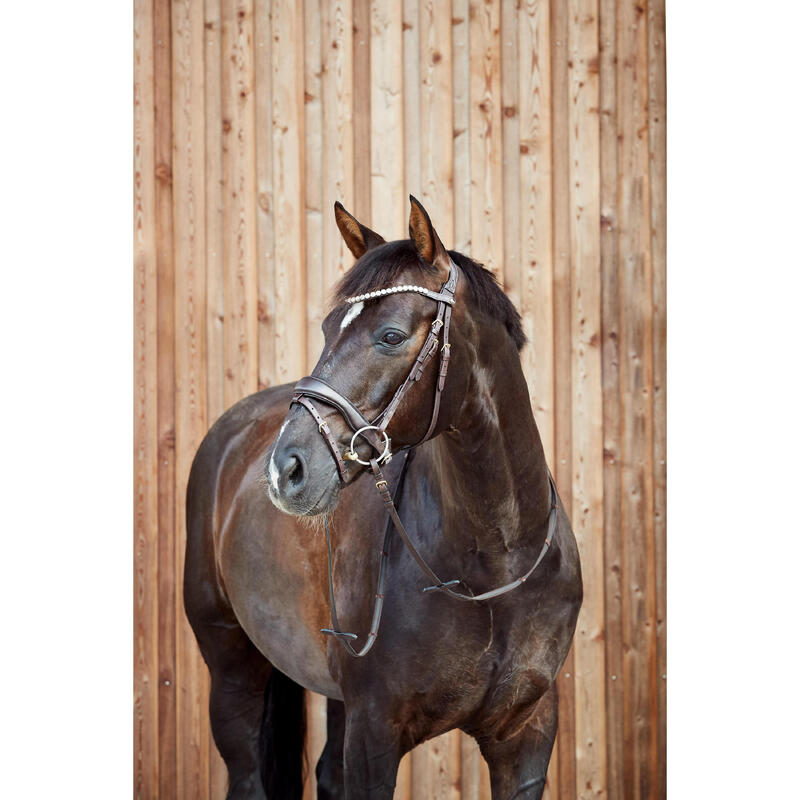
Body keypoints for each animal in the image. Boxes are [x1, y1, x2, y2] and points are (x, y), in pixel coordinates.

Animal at [185, 195, 584, 800]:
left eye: (391, 335)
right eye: (327, 327)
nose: (286, 470)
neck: (495, 564)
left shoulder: (527, 736)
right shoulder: (375, 734)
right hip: (232, 669)